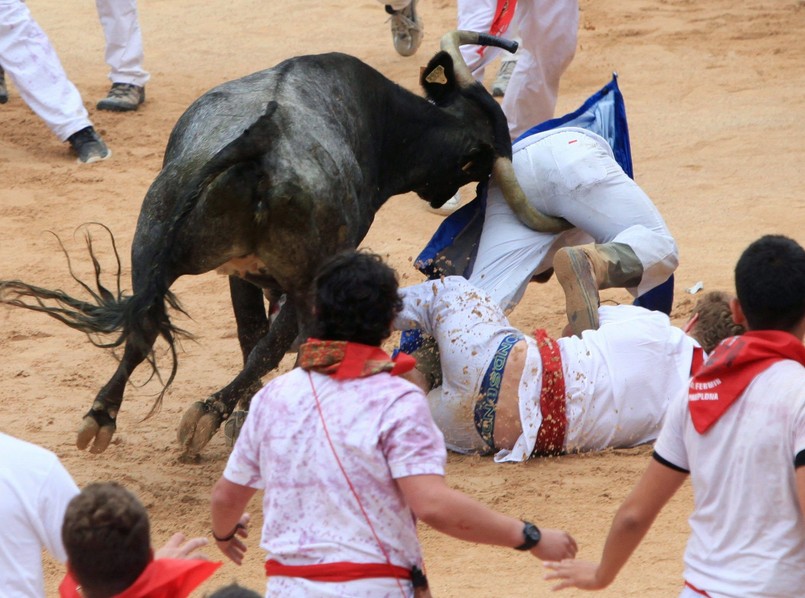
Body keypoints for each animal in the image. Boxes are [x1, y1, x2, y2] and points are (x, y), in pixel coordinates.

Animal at [0, 32, 568, 458]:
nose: (447, 196)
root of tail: (263, 140)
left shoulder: (240, 273)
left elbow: (251, 334)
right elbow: (273, 342)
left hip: (153, 236)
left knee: (147, 327)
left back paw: (103, 417)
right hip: (305, 276)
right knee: (273, 344)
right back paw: (208, 415)